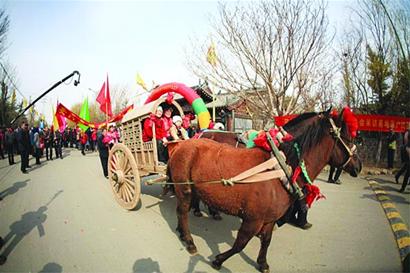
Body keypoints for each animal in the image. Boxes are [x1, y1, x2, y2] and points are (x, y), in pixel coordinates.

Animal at [167, 109, 362, 272]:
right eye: (349, 138)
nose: (359, 166)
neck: (281, 169)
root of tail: (182, 145)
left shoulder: (269, 219)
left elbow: (266, 241)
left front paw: (262, 263)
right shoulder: (253, 219)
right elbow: (240, 244)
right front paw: (218, 260)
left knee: (181, 210)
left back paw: (183, 230)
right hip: (184, 188)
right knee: (182, 212)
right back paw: (189, 241)